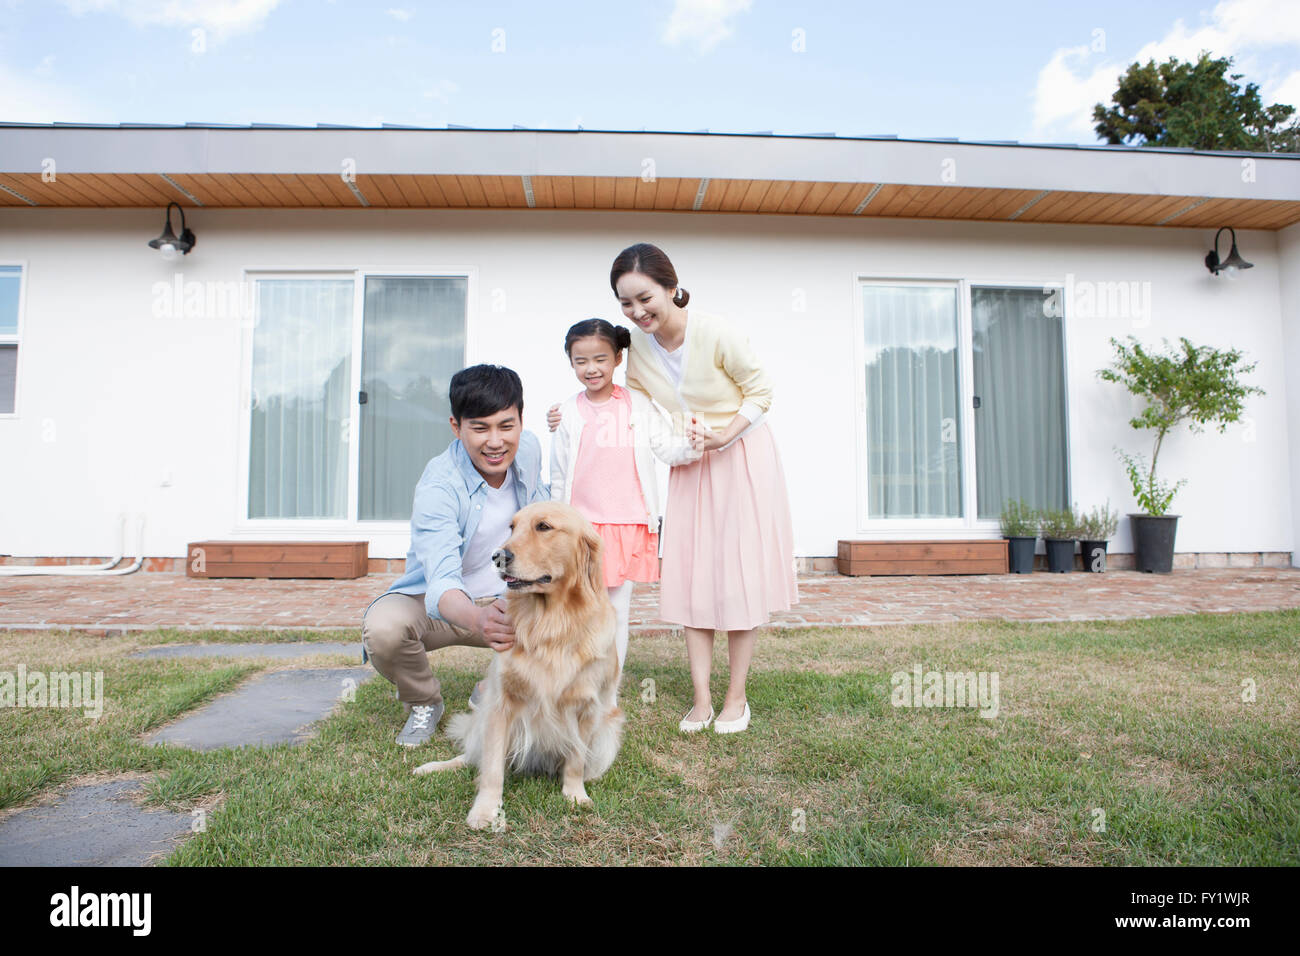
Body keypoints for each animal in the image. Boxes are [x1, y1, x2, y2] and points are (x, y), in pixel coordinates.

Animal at [410, 502, 624, 832]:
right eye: (512, 527)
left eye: (544, 527)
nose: (498, 556)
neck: (550, 624)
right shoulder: (501, 704)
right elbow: (491, 768)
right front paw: (486, 810)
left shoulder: (587, 707)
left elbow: (576, 759)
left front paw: (575, 795)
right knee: (471, 756)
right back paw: (434, 766)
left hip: (609, 730)